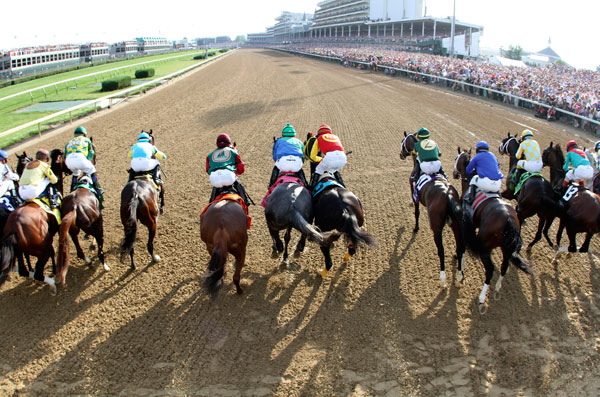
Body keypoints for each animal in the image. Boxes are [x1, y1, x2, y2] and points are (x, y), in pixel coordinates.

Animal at [400, 131, 466, 286]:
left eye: (403, 142)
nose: (401, 154)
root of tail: (448, 194)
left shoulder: (414, 190)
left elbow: (416, 212)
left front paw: (415, 228)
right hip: (456, 224)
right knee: (460, 247)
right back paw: (459, 275)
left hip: (436, 226)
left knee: (441, 250)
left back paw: (442, 278)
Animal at [454, 148, 536, 312]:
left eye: (457, 158)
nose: (454, 173)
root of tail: (508, 218)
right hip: (506, 247)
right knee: (504, 266)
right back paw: (497, 289)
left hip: (486, 246)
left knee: (490, 269)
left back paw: (481, 299)